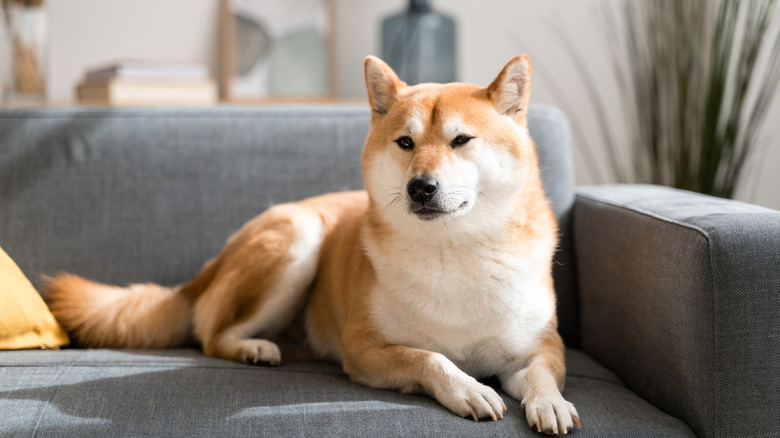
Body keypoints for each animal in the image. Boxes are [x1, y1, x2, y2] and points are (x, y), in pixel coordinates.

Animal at [47, 54, 580, 434]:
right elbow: (428, 357)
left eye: (461, 140)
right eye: (405, 143)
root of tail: (210, 266)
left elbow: (541, 373)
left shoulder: (539, 346)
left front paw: (550, 402)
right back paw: (255, 347)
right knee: (213, 337)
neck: (455, 250)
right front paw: (467, 388)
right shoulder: (363, 350)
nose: (420, 187)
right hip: (298, 240)